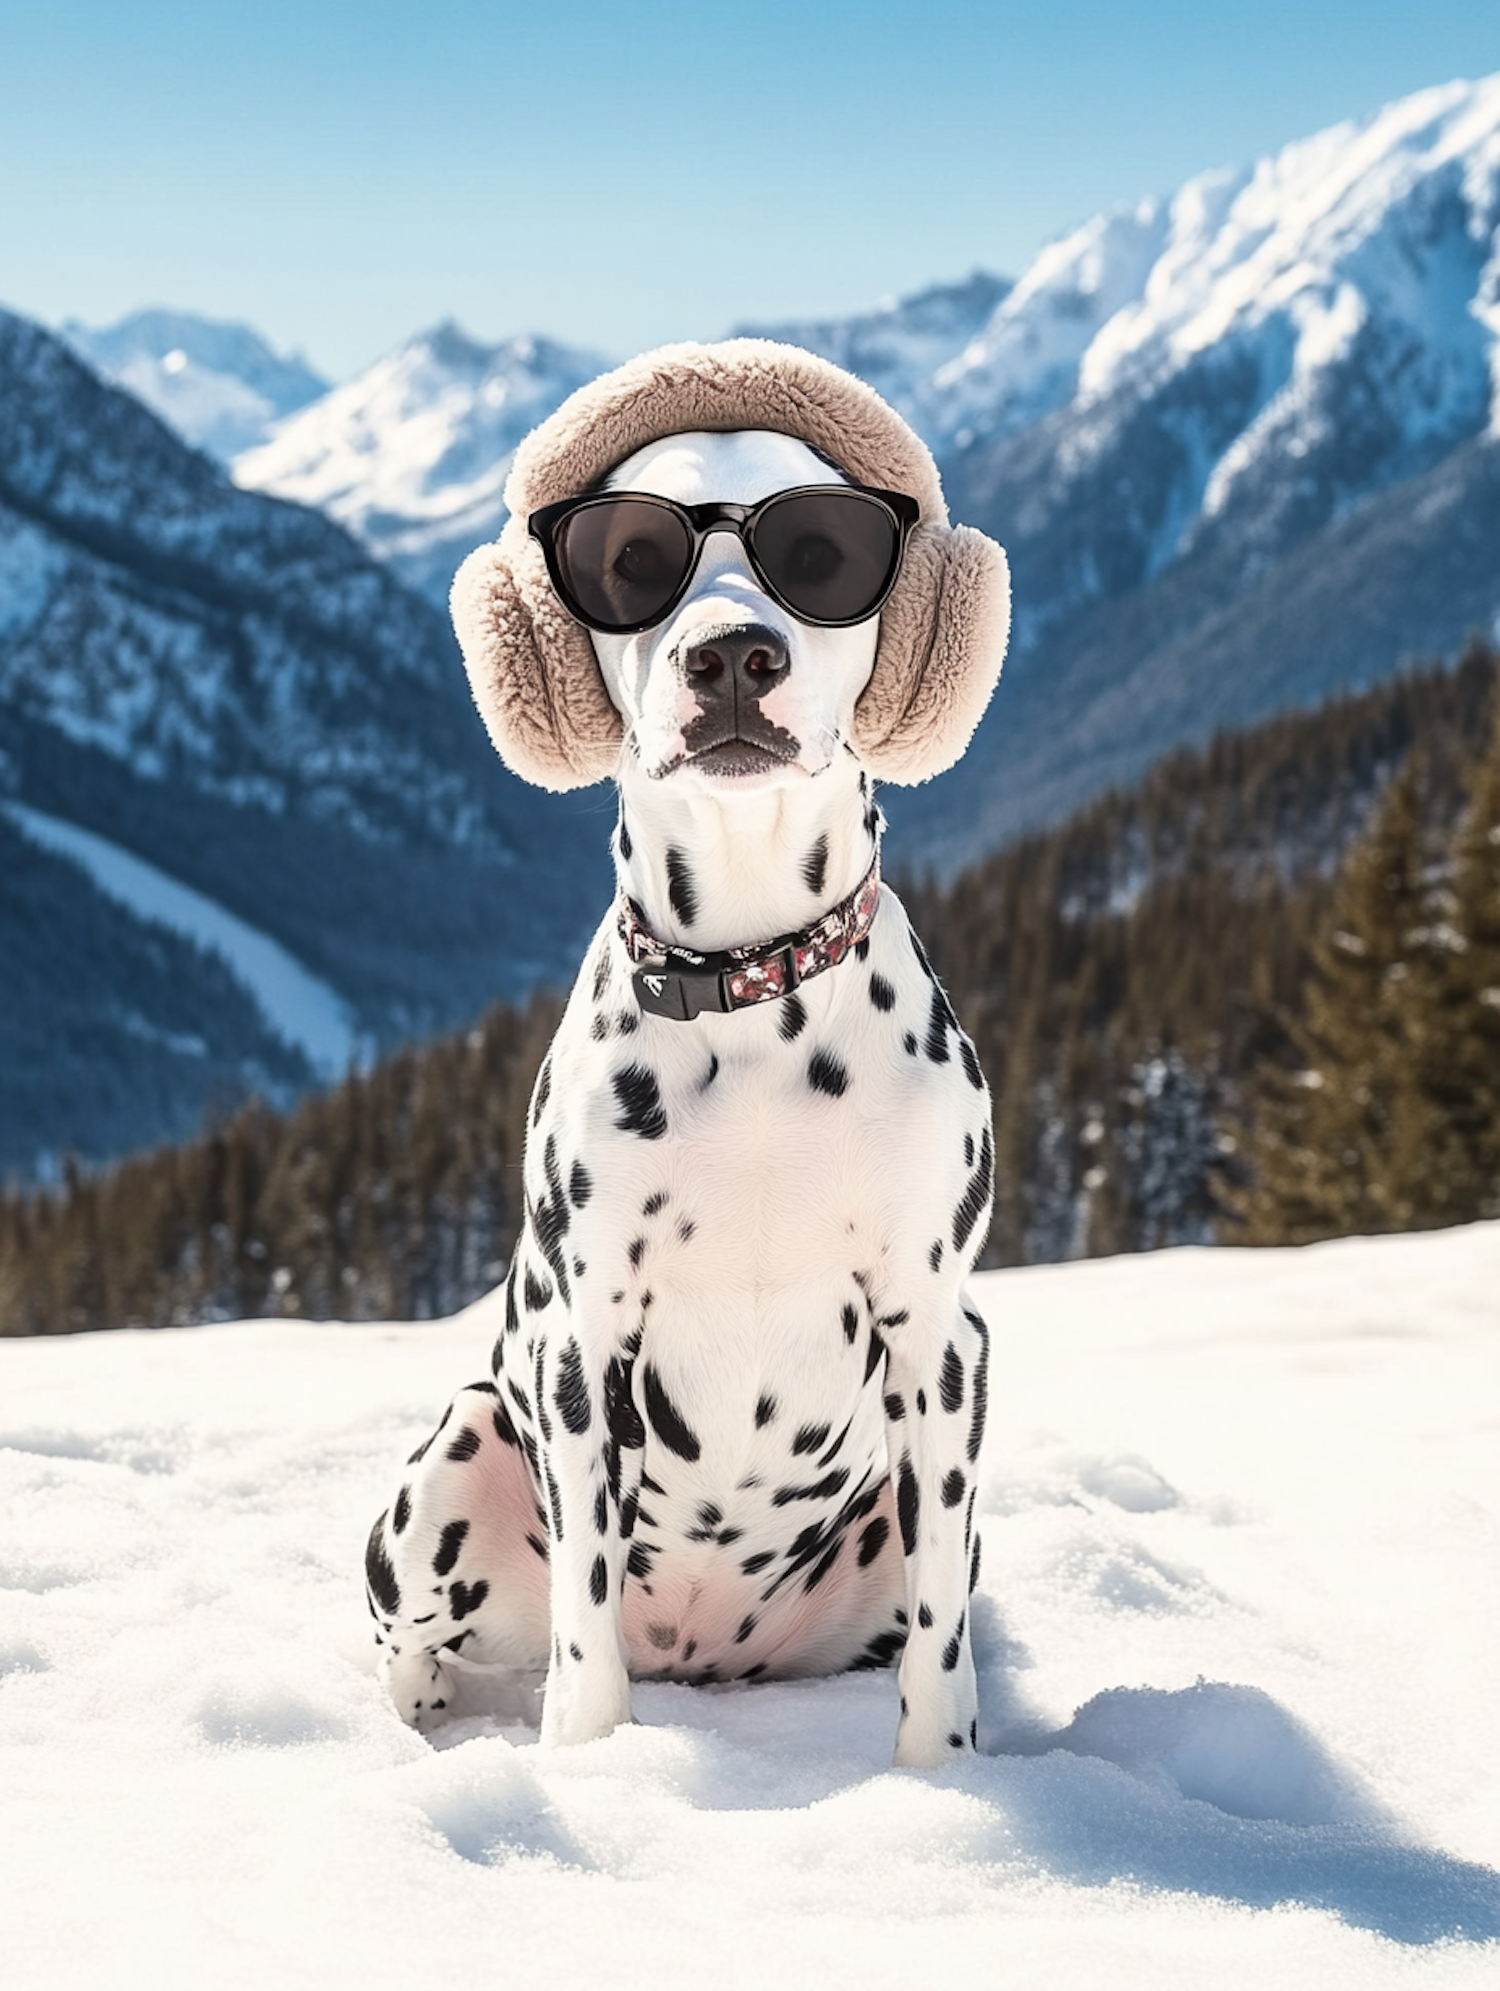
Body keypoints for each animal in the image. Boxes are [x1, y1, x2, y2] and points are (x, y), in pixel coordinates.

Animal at [362, 342, 1007, 1775]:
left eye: (818, 547)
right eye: (633, 555)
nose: (732, 653)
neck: (749, 986)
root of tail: (706, 1651)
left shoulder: (943, 1336)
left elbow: (942, 1635)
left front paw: (941, 1783)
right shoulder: (578, 1339)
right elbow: (585, 1612)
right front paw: (590, 1762)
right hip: (454, 1464)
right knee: (415, 1648)